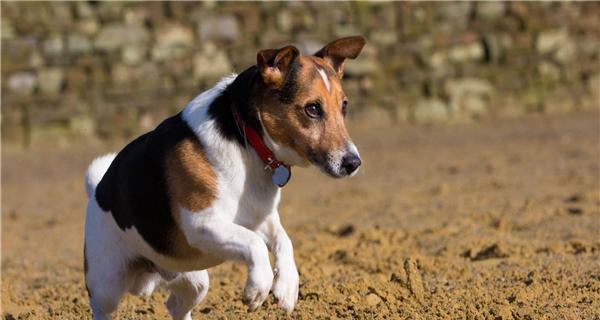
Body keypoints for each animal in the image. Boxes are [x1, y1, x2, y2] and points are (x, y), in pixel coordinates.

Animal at [84, 35, 366, 320]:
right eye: (312, 109)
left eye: (344, 106)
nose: (353, 163)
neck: (247, 139)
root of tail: (97, 190)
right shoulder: (201, 223)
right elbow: (255, 244)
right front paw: (257, 288)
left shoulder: (260, 217)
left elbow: (283, 240)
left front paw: (287, 287)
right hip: (107, 283)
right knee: (102, 307)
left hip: (194, 281)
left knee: (175, 305)